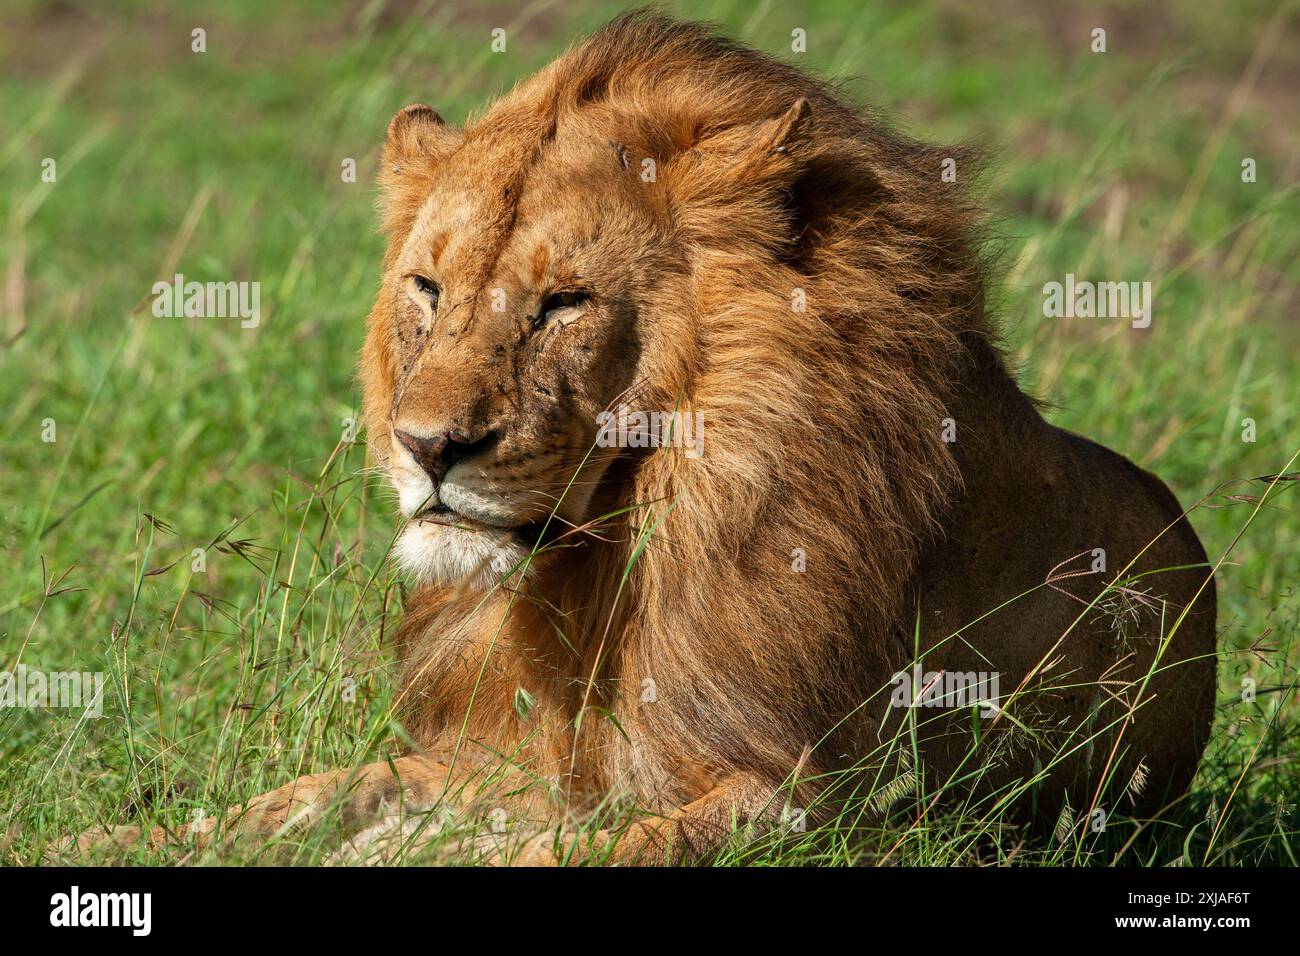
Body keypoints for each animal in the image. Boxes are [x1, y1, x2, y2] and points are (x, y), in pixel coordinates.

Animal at [73, 12, 1216, 864]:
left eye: (563, 303)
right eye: (428, 286)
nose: (426, 446)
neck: (593, 567)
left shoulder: (816, 796)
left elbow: (601, 848)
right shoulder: (493, 756)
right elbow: (304, 797)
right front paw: (116, 838)